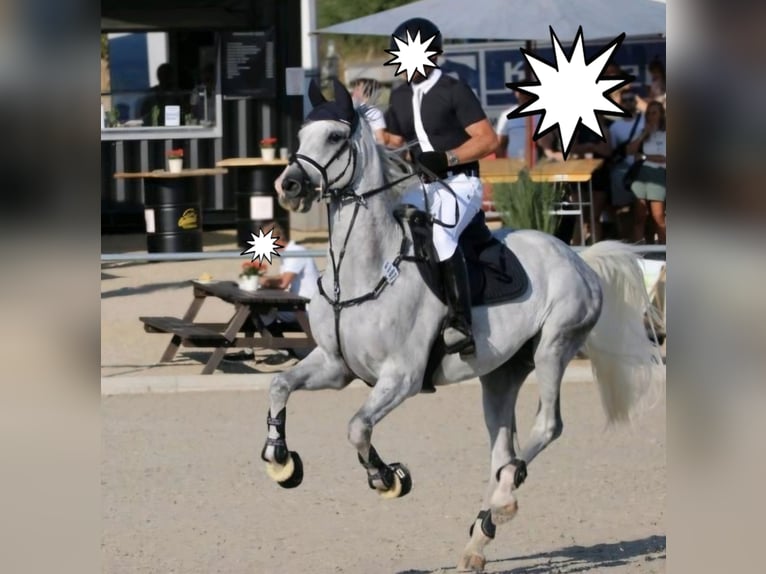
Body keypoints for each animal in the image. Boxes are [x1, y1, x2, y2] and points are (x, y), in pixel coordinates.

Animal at [260, 78, 664, 571]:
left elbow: (357, 427)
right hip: (501, 374)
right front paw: (280, 461)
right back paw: (480, 536)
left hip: (554, 346)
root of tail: (578, 256)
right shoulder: (336, 366)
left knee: (546, 427)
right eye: (300, 136)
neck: (360, 271)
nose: (288, 185)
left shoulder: (402, 377)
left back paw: (503, 502)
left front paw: (387, 477)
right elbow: (280, 384)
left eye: (335, 137)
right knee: (503, 449)